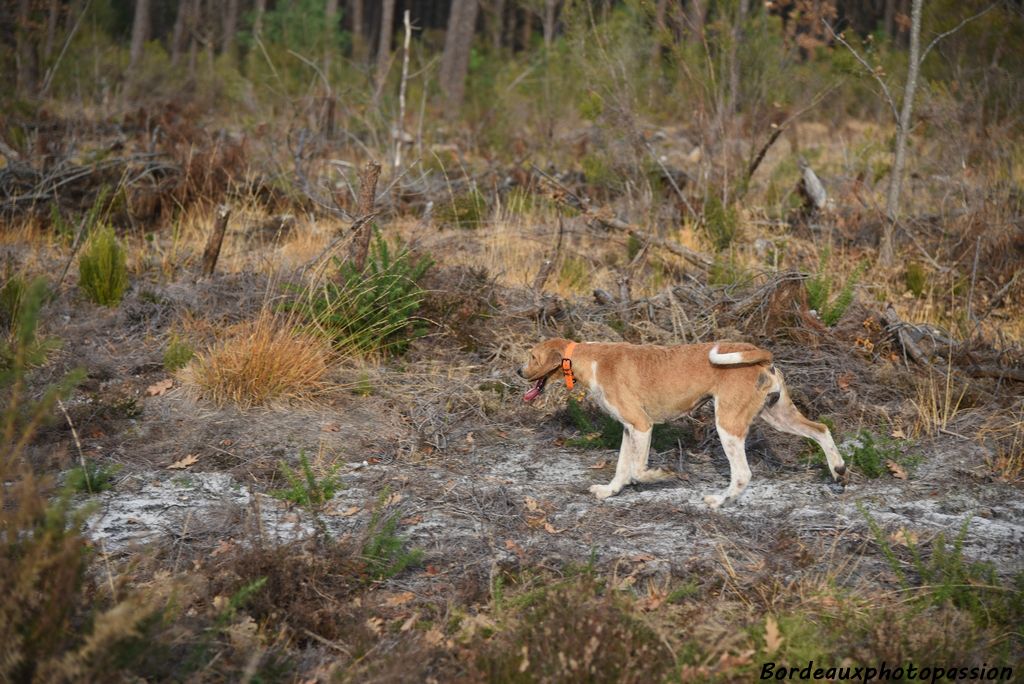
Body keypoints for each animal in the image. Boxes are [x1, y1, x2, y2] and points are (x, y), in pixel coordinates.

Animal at [520, 337, 847, 507]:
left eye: (532, 356)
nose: (517, 371)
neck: (590, 359)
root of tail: (759, 353)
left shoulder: (642, 426)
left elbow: (637, 470)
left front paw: (662, 475)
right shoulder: (629, 429)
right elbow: (622, 469)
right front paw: (610, 491)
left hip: (727, 425)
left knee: (742, 474)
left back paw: (719, 500)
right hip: (778, 416)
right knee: (821, 430)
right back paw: (838, 470)